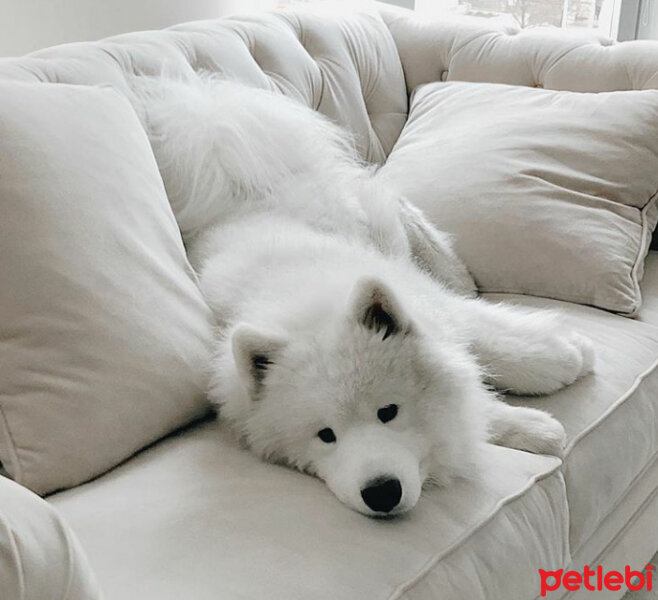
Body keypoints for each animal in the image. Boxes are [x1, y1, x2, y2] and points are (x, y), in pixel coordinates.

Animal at [136, 74, 592, 516]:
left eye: (387, 412)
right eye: (326, 435)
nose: (382, 492)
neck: (310, 308)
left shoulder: (429, 303)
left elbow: (496, 341)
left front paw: (570, 356)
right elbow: (471, 398)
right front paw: (535, 429)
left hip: (374, 224)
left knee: (415, 225)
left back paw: (456, 272)